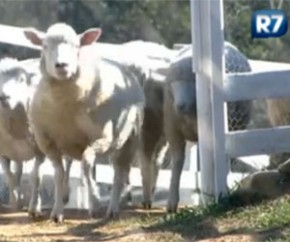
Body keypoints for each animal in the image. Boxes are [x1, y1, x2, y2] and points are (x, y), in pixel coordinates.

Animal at [0, 57, 72, 217]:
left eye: (21, 80)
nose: (3, 97)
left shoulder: (40, 150)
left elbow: (36, 177)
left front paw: (34, 207)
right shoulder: (3, 153)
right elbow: (9, 176)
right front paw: (15, 201)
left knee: (68, 163)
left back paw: (65, 194)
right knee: (19, 168)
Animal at [23, 21, 145, 222]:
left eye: (76, 46)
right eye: (45, 45)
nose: (61, 65)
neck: (64, 105)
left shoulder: (103, 137)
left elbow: (87, 163)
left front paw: (94, 202)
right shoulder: (48, 142)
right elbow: (59, 174)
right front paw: (57, 212)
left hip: (129, 139)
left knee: (118, 173)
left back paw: (112, 208)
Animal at [164, 42, 253, 213]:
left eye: (190, 80)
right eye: (172, 83)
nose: (179, 106)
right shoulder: (173, 132)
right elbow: (177, 162)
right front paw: (172, 202)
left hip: (234, 125)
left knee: (229, 159)